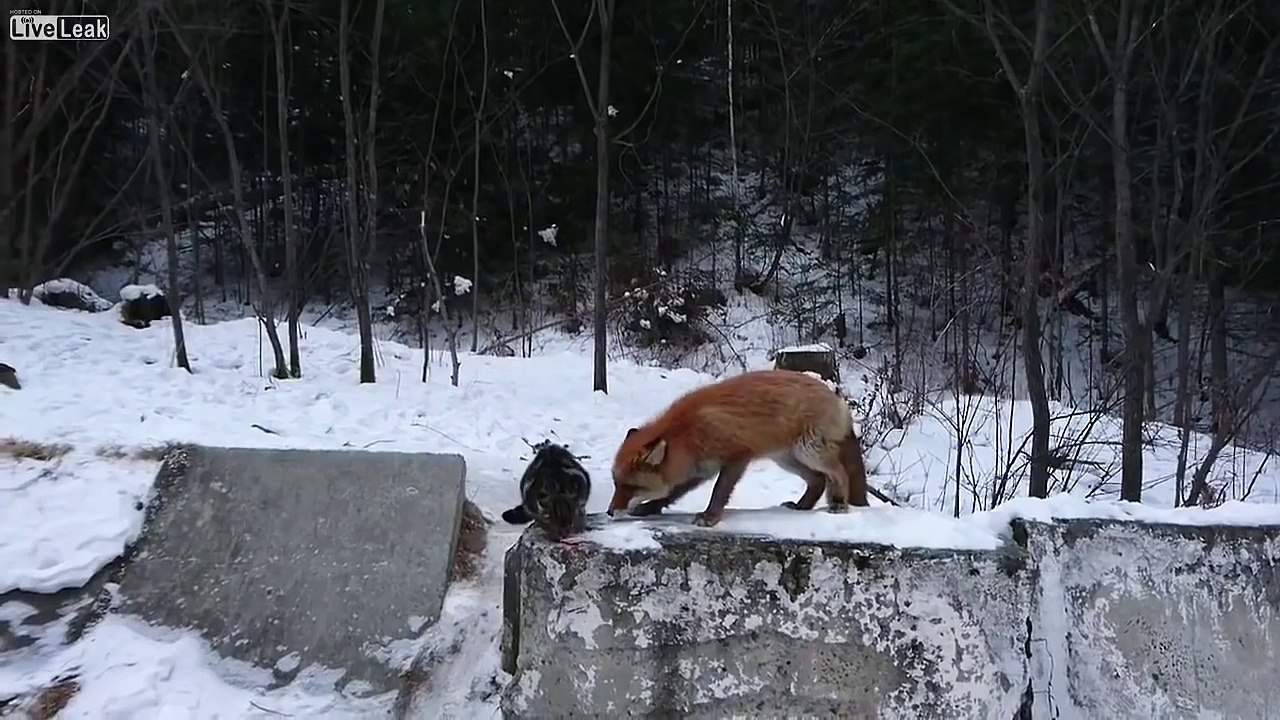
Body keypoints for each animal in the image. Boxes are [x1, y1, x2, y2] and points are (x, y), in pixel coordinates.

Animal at [608, 368, 870, 528]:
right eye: (616, 484)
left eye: (631, 487)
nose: (610, 512)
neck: (686, 432)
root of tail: (836, 396)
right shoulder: (698, 469)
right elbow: (672, 494)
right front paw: (649, 508)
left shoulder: (737, 457)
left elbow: (719, 491)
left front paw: (710, 517)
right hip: (788, 459)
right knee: (818, 480)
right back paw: (802, 506)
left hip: (809, 452)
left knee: (839, 473)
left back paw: (839, 504)